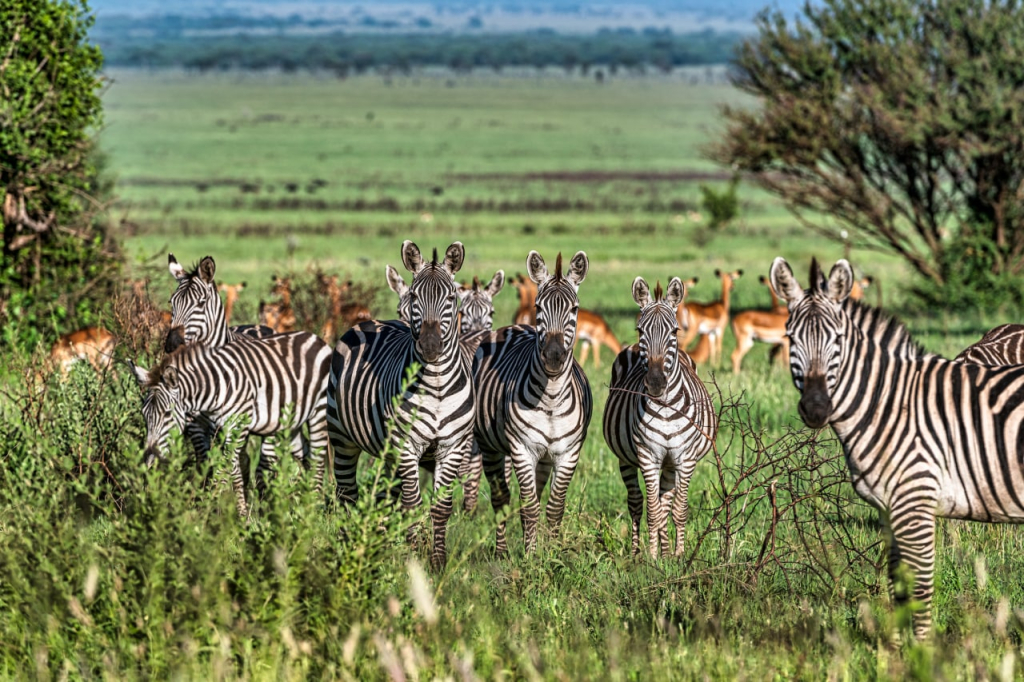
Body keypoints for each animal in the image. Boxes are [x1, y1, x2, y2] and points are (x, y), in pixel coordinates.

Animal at [131, 329, 331, 516]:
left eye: (167, 414)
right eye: (144, 414)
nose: (150, 460)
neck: (215, 389)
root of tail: (314, 337)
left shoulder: (238, 426)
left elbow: (223, 470)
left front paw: (208, 510)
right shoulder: (219, 429)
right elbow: (230, 469)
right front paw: (239, 513)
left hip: (319, 411)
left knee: (318, 458)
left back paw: (314, 508)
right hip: (288, 424)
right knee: (306, 455)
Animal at [325, 238, 473, 569]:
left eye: (452, 297)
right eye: (416, 296)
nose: (430, 347)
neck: (437, 386)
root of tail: (368, 321)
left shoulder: (453, 446)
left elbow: (440, 507)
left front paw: (438, 562)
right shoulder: (406, 445)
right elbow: (413, 506)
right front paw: (415, 557)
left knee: (384, 496)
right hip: (342, 437)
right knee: (347, 494)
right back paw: (347, 546)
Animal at [471, 249, 593, 552]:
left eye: (574, 309)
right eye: (538, 307)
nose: (553, 357)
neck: (550, 399)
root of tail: (514, 325)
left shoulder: (568, 453)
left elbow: (553, 508)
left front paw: (552, 554)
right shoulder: (522, 448)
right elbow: (528, 507)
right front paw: (530, 556)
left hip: (545, 458)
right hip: (491, 446)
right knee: (501, 498)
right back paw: (502, 552)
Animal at [602, 276, 716, 557]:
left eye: (674, 332)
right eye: (640, 330)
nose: (655, 384)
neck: (665, 407)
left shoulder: (685, 459)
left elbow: (677, 510)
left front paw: (678, 555)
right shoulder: (648, 456)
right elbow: (652, 512)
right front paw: (653, 558)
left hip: (670, 463)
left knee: (665, 501)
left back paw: (666, 552)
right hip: (626, 458)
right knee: (636, 503)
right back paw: (637, 553)